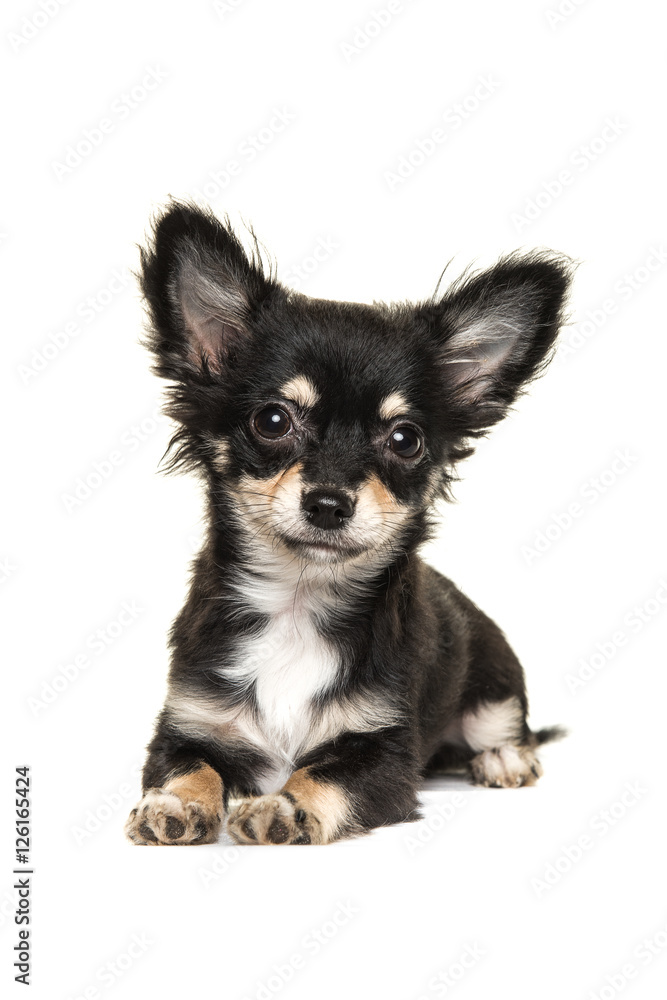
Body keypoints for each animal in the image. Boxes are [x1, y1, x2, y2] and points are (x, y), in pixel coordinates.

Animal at [126, 207, 576, 848]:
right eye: (272, 421)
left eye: (405, 439)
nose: (329, 503)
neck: (296, 605)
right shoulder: (187, 723)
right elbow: (192, 767)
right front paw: (177, 804)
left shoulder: (384, 754)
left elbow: (323, 776)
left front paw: (284, 809)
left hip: (493, 675)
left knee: (503, 724)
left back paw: (504, 758)